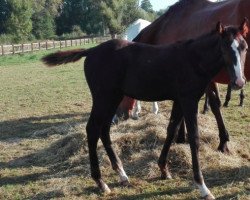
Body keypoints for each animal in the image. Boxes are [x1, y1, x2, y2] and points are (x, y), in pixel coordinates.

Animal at [41, 22, 246, 199]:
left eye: (244, 47)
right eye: (225, 48)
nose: (239, 82)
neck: (193, 59)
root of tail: (91, 50)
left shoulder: (179, 100)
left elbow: (171, 130)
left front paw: (164, 169)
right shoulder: (189, 100)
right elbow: (194, 139)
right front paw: (203, 187)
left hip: (113, 98)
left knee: (104, 129)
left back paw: (122, 175)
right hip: (103, 98)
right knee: (92, 129)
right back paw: (101, 182)